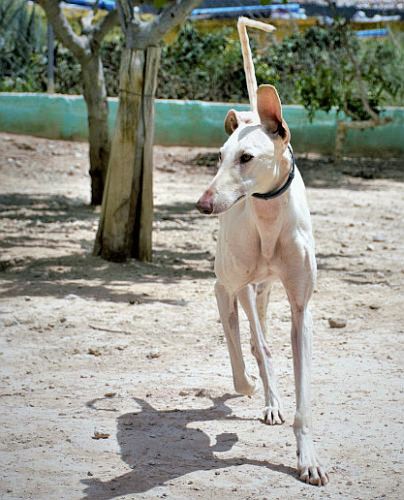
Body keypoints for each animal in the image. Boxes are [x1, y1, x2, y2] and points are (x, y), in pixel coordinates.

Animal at [196, 17, 328, 486]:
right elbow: (253, 352)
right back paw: (257, 388)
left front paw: (308, 459)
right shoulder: (234, 287)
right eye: (219, 156)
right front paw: (254, 386)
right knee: (247, 336)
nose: (202, 204)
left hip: (268, 288)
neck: (268, 222)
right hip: (237, 287)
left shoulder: (301, 307)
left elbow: (302, 389)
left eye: (246, 157)